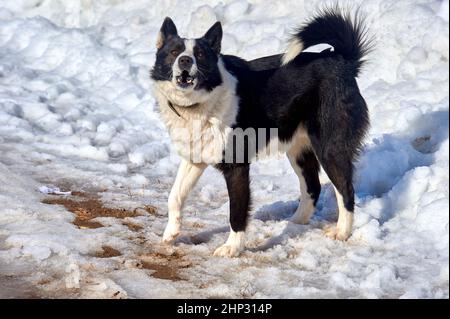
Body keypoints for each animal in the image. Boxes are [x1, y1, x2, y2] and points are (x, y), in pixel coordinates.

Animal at [151, 7, 372, 258]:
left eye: (200, 54)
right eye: (174, 52)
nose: (185, 60)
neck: (200, 103)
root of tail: (342, 62)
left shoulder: (237, 167)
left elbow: (236, 212)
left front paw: (233, 247)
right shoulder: (194, 159)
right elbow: (174, 196)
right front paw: (171, 233)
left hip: (330, 149)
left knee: (346, 190)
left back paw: (342, 232)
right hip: (298, 149)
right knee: (312, 187)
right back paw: (294, 223)